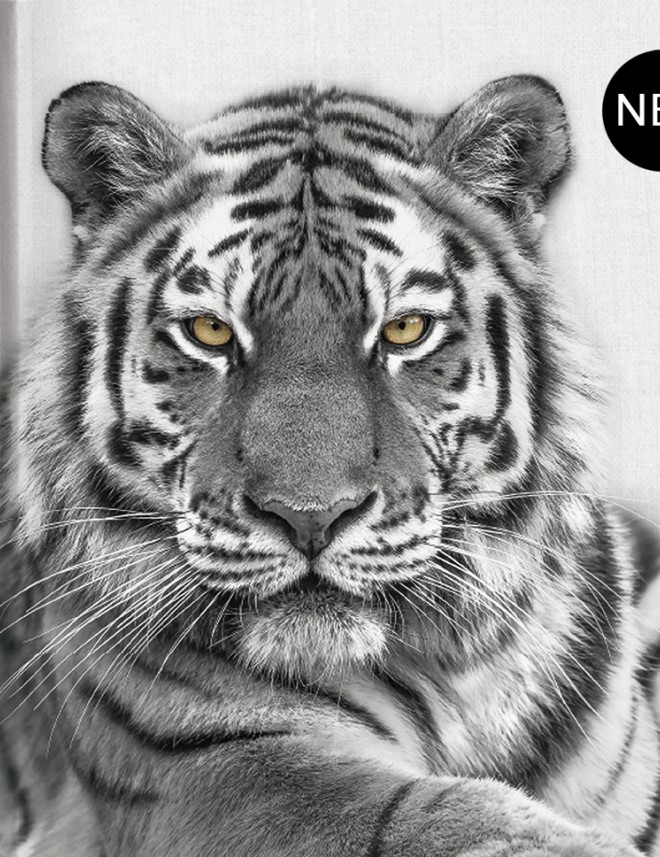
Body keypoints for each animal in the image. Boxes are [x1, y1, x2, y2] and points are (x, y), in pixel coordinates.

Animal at [0, 73, 659, 857]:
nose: (309, 518)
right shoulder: (216, 769)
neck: (460, 674)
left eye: (406, 329)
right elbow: (441, 817)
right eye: (210, 331)